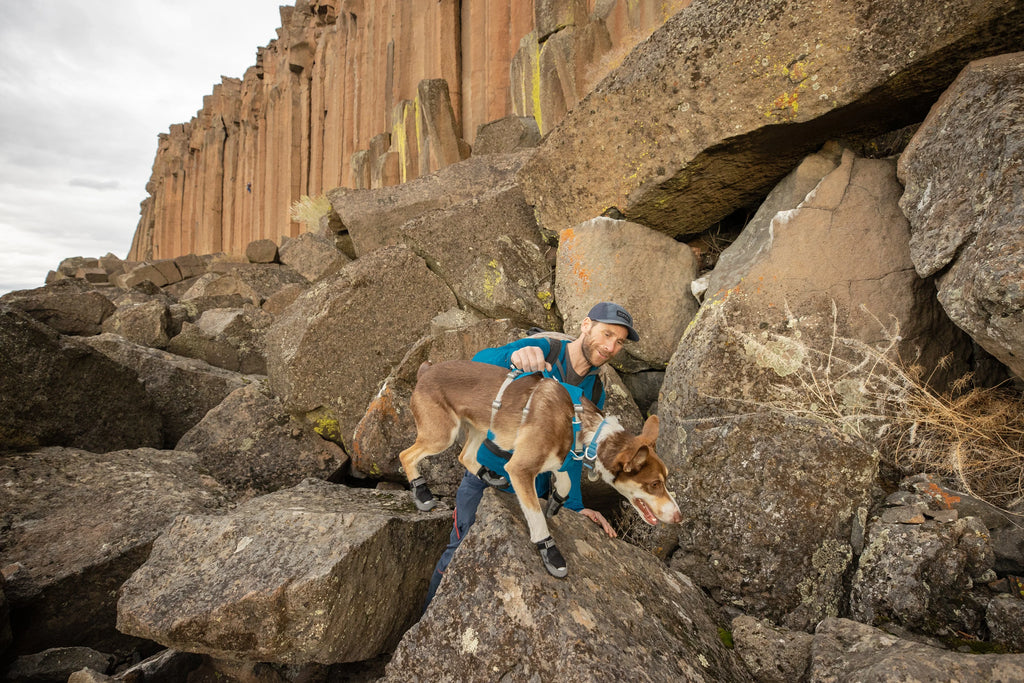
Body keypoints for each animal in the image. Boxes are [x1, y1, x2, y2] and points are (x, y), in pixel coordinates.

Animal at [397, 360, 679, 581]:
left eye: (665, 480)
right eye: (654, 484)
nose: (679, 518)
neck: (580, 423)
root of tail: (425, 370)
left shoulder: (560, 458)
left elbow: (564, 485)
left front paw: (556, 502)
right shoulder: (520, 468)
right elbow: (535, 516)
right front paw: (549, 550)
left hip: (480, 426)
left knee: (465, 455)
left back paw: (488, 475)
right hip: (442, 434)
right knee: (406, 455)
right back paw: (421, 494)